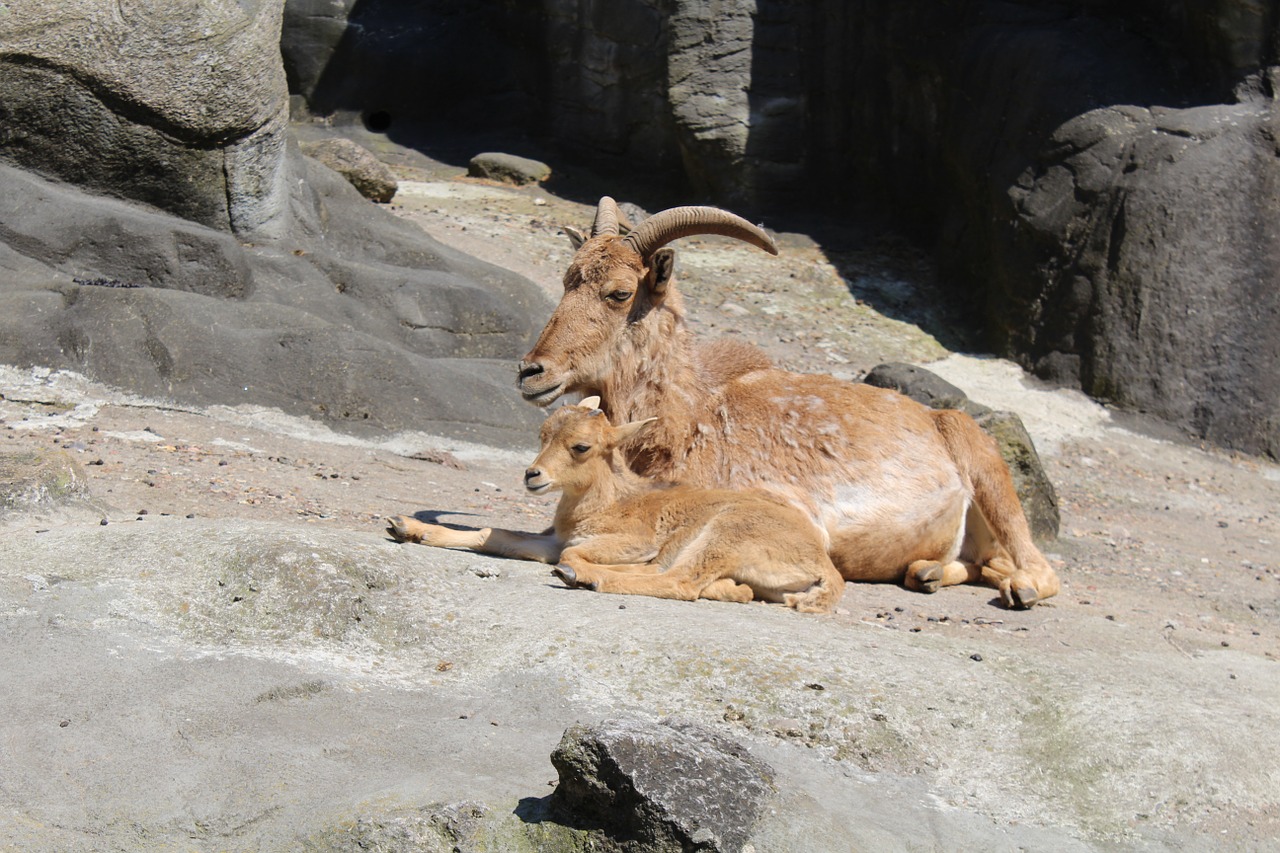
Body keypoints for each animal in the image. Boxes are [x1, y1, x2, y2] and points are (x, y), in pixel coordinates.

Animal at [389, 399, 849, 612]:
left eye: (581, 446)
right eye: (543, 434)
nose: (533, 475)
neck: (607, 503)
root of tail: (824, 568)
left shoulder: (630, 540)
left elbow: (576, 553)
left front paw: (580, 570)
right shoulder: (553, 541)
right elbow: (494, 534)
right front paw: (407, 527)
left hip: (726, 532)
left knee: (679, 581)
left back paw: (585, 578)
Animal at [514, 195, 1064, 607]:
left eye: (620, 293)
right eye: (567, 279)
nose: (531, 371)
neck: (688, 420)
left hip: (987, 471)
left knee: (1038, 568)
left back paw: (1017, 588)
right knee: (983, 563)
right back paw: (927, 572)